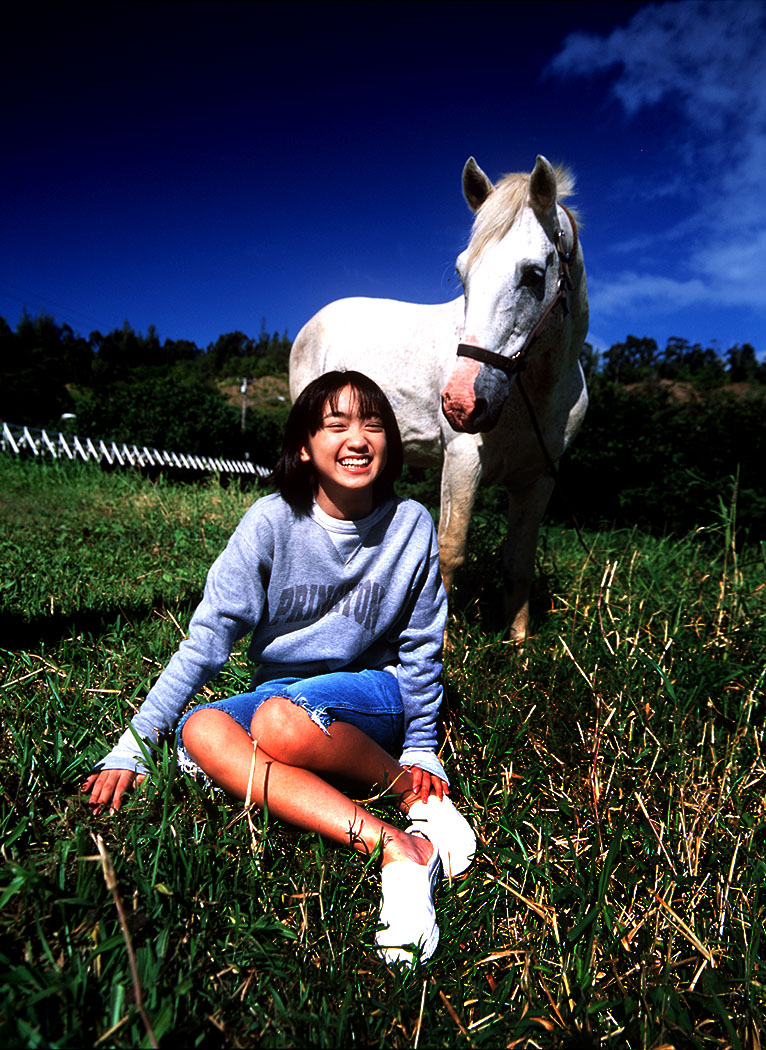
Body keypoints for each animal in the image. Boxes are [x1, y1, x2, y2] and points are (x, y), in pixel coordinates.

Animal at [289, 155, 587, 638]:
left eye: (533, 275)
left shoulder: (539, 478)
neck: (534, 393)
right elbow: (449, 552)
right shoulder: (463, 461)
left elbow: (518, 561)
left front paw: (519, 642)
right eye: (463, 274)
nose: (462, 403)